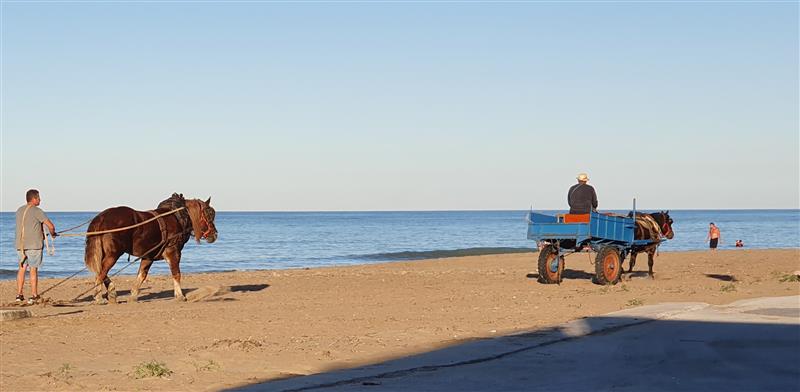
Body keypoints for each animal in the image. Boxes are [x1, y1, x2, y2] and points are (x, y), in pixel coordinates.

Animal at [83, 194, 219, 304]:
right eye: (209, 214)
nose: (215, 234)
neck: (178, 217)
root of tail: (101, 217)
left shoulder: (148, 256)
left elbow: (142, 275)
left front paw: (133, 296)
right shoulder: (173, 252)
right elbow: (176, 274)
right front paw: (180, 295)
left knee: (100, 271)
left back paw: (111, 292)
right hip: (113, 254)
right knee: (101, 273)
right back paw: (99, 297)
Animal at [528, 202, 672, 284]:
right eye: (670, 221)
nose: (671, 235)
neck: (651, 223)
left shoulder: (633, 249)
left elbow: (631, 263)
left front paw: (626, 274)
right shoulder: (649, 248)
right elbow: (649, 263)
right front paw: (649, 276)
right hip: (612, 246)